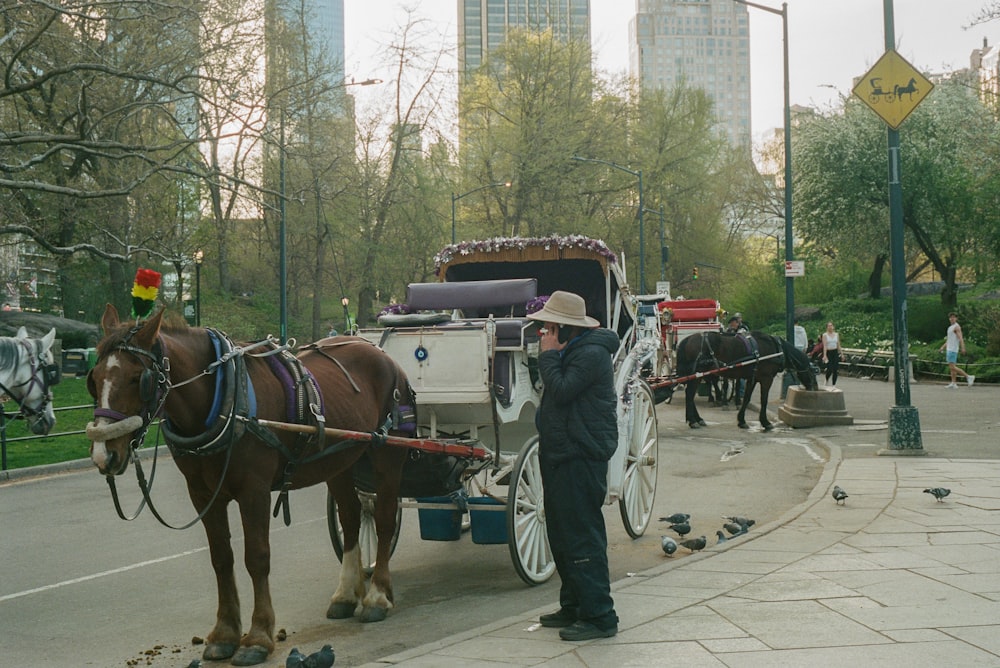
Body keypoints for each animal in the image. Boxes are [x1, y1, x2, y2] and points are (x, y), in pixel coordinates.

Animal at [87, 306, 414, 664]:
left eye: (138, 379)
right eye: (94, 379)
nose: (104, 454)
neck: (223, 400)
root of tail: (380, 353)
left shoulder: (253, 491)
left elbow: (256, 558)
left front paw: (257, 637)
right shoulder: (202, 495)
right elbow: (221, 559)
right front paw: (224, 633)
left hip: (388, 455)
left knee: (383, 520)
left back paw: (377, 596)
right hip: (340, 459)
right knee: (352, 518)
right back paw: (345, 594)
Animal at [672, 332, 820, 430]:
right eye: (813, 372)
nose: (815, 388)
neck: (777, 350)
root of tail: (688, 339)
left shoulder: (752, 378)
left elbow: (747, 398)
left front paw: (742, 420)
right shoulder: (766, 379)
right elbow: (764, 400)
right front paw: (765, 422)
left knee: (690, 395)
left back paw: (698, 419)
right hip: (697, 374)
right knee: (689, 395)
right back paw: (693, 421)